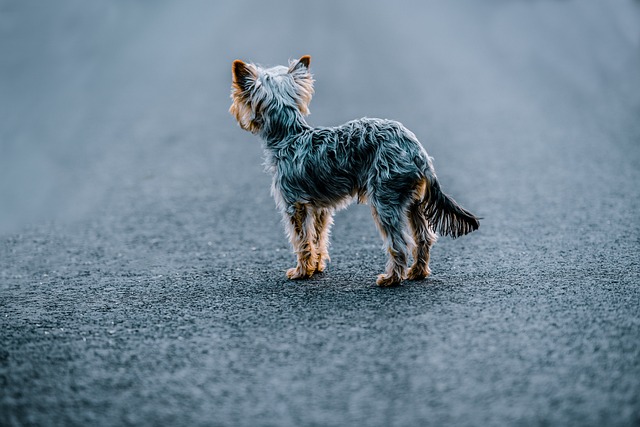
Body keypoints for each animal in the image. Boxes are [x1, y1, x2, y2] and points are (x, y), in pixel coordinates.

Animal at [230, 55, 480, 286]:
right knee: (424, 237)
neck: (289, 136)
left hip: (384, 198)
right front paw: (316, 267)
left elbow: (302, 240)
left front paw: (301, 271)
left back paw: (391, 278)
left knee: (399, 243)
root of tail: (419, 154)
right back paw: (417, 272)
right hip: (412, 201)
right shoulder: (320, 208)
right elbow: (318, 238)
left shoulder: (294, 205)